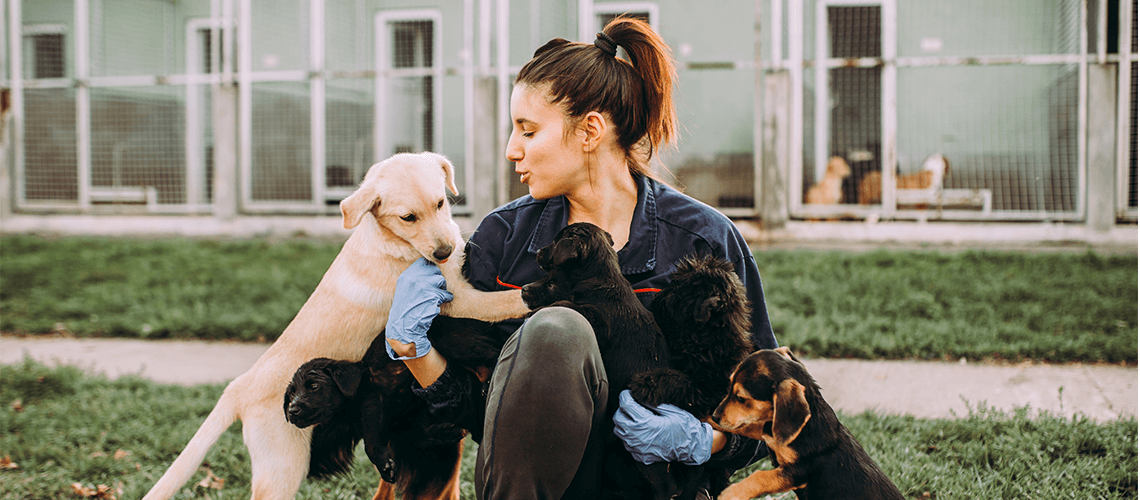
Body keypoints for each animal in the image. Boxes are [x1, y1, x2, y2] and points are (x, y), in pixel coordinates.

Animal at [282, 316, 506, 500]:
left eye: (314, 386)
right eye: (291, 394)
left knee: (492, 354)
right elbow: (416, 435)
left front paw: (384, 465)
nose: (292, 411)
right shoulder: (401, 422)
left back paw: (488, 382)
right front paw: (443, 432)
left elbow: (372, 441)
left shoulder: (372, 398)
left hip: (453, 341)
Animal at [522, 223, 670, 500]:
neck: (601, 276)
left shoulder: (598, 320)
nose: (537, 251)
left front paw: (536, 310)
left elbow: (568, 303)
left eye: (556, 242)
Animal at [706, 348, 902, 500]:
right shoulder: (771, 431)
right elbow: (752, 426)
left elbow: (761, 476)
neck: (806, 429)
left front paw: (731, 493)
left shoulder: (799, 470)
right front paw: (703, 418)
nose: (715, 416)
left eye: (740, 398)